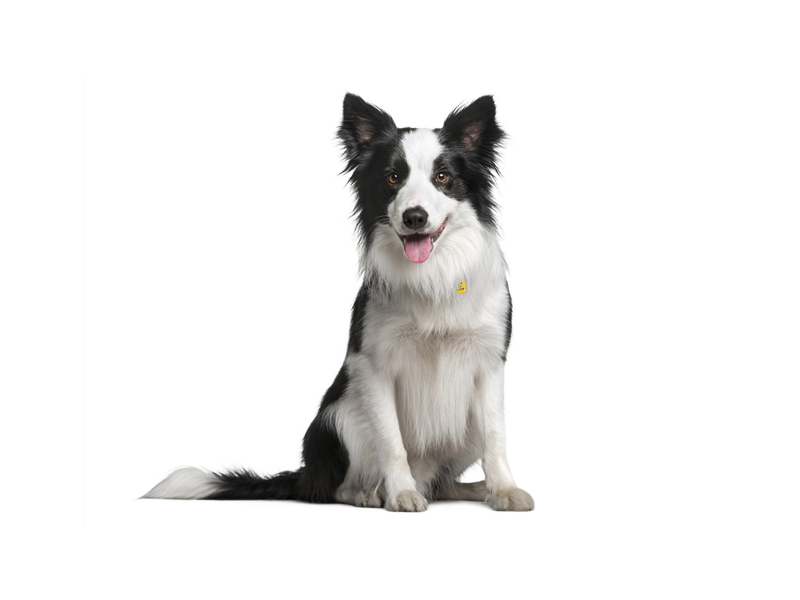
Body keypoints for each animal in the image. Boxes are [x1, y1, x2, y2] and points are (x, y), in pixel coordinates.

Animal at [140, 91, 536, 512]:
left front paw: (504, 489)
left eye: (442, 177)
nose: (414, 217)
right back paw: (371, 492)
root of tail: (308, 474)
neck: (433, 275)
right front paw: (401, 493)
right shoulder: (374, 367)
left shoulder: (488, 367)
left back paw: (469, 489)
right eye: (392, 178)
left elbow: (495, 438)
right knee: (338, 485)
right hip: (340, 414)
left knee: (442, 480)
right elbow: (391, 441)